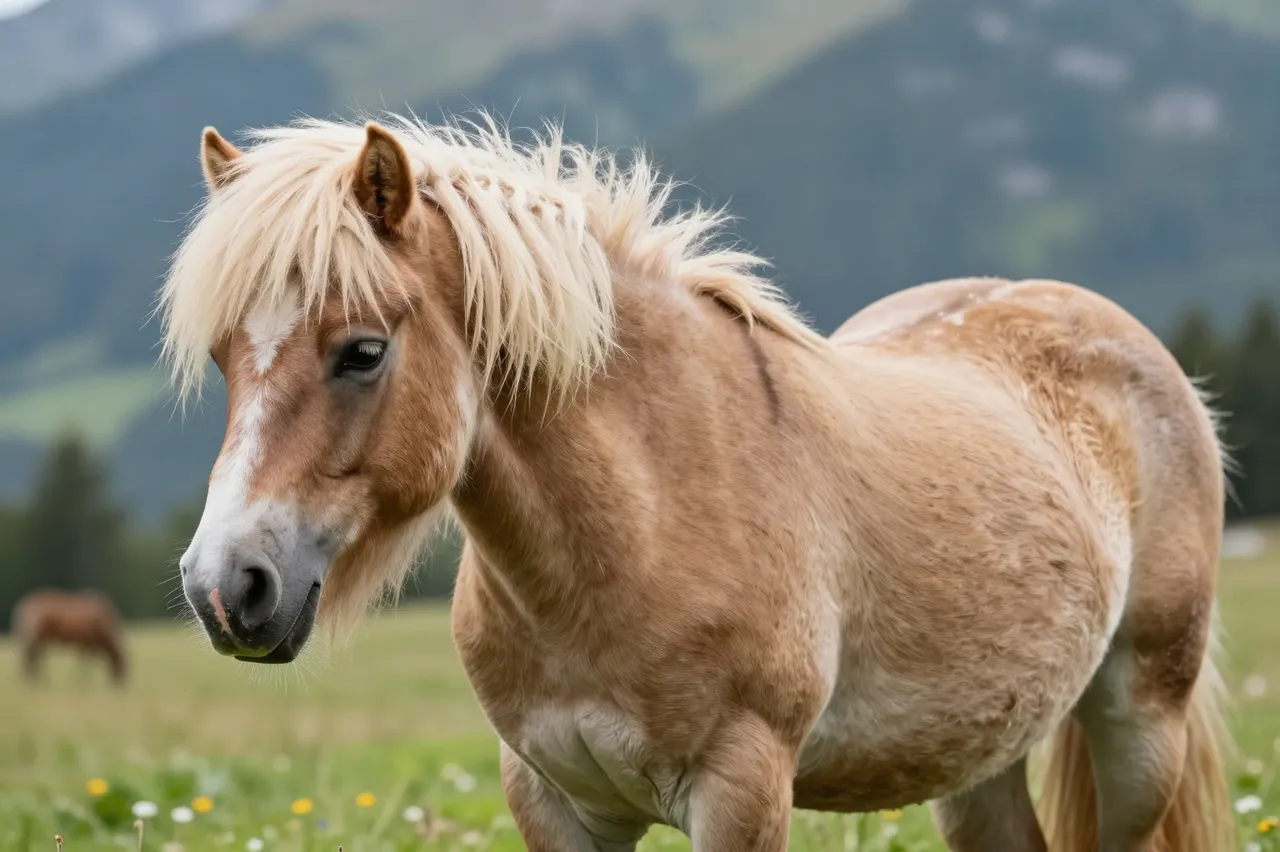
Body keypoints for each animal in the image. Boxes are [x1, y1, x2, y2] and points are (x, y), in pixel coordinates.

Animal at [162, 113, 1233, 851]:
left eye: (364, 351)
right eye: (222, 360)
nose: (226, 588)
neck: (645, 523)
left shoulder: (741, 792)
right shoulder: (555, 802)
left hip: (1142, 720)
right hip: (980, 756)